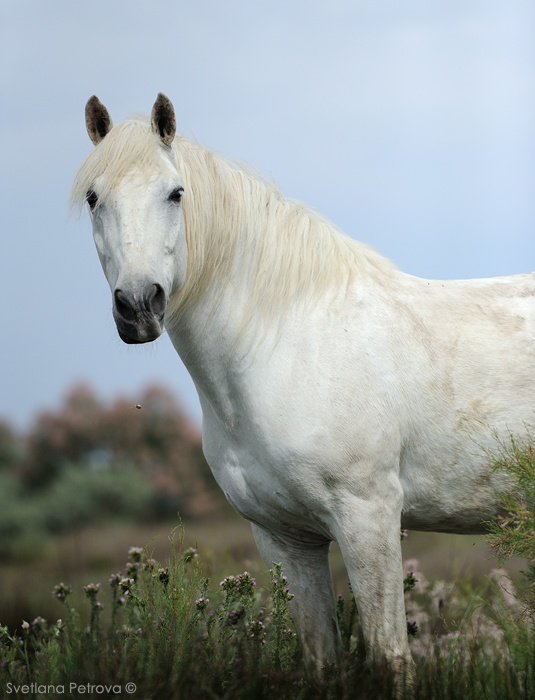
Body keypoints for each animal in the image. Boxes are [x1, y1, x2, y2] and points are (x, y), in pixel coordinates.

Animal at [72, 94, 535, 684]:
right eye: (93, 197)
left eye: (175, 193)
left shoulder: (368, 519)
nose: (137, 305)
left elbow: (390, 658)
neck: (286, 344)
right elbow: (321, 656)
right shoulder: (288, 539)